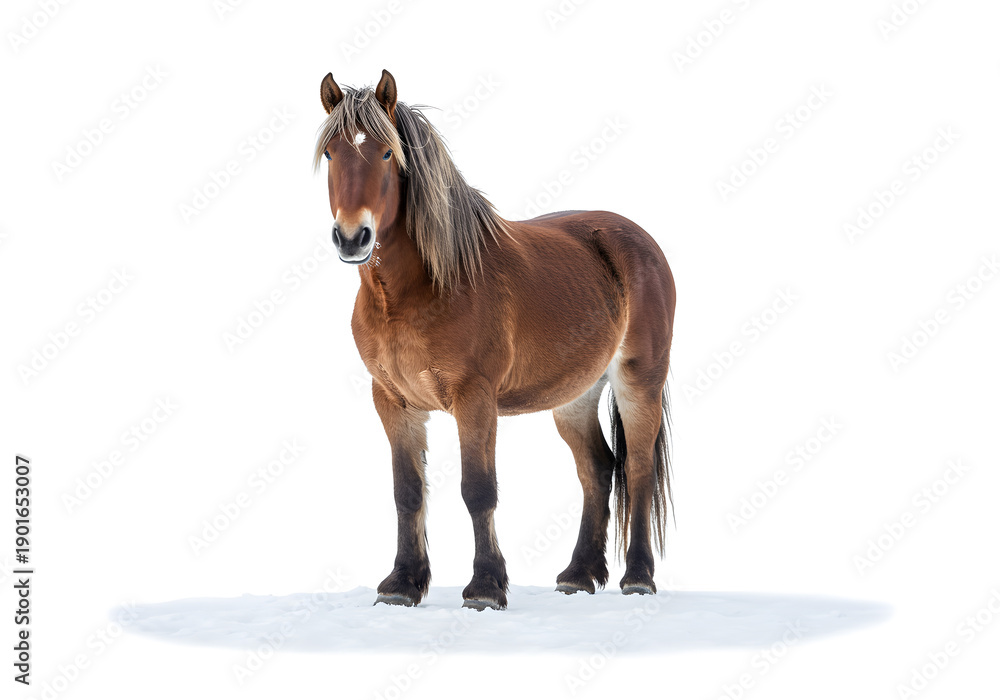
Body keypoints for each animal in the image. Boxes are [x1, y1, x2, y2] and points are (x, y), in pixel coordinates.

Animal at [315, 70, 676, 610]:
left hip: (639, 384)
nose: (352, 236)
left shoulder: (475, 399)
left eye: (386, 153)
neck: (422, 288)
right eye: (331, 152)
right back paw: (578, 574)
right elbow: (407, 492)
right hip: (574, 396)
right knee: (598, 469)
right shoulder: (394, 401)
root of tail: (639, 241)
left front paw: (485, 586)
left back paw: (638, 577)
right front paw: (402, 583)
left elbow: (478, 490)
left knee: (636, 469)